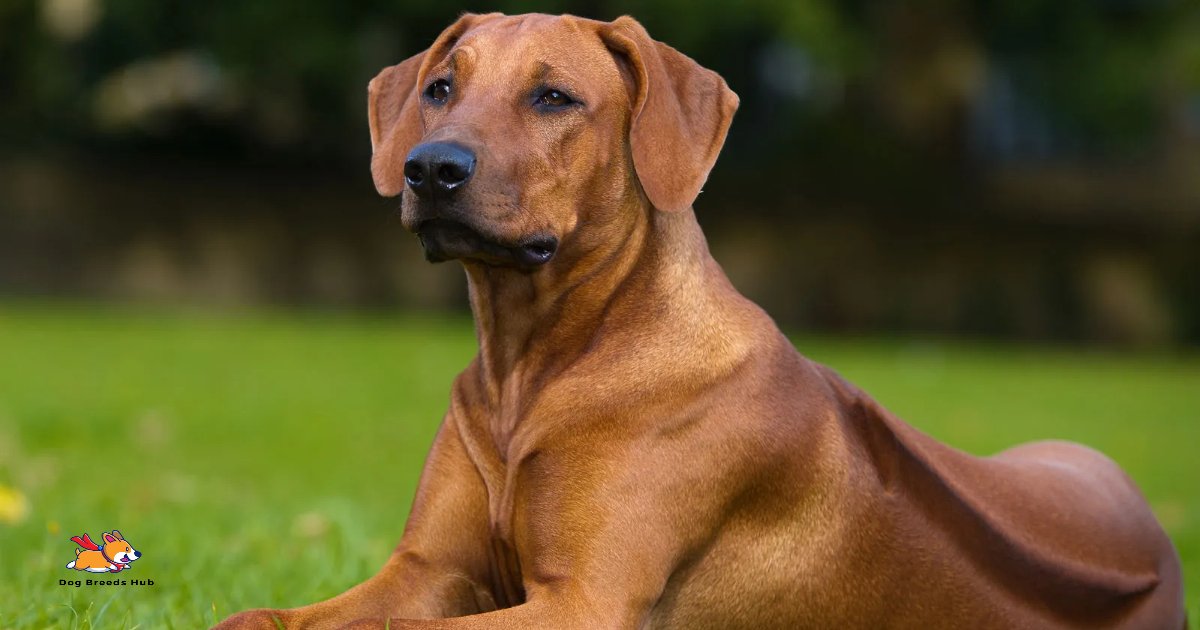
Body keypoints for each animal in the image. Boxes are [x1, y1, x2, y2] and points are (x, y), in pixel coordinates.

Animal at [213, 11, 1180, 628]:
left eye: (555, 98)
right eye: (441, 87)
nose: (428, 167)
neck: (533, 364)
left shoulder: (581, 604)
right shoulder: (428, 570)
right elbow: (260, 617)